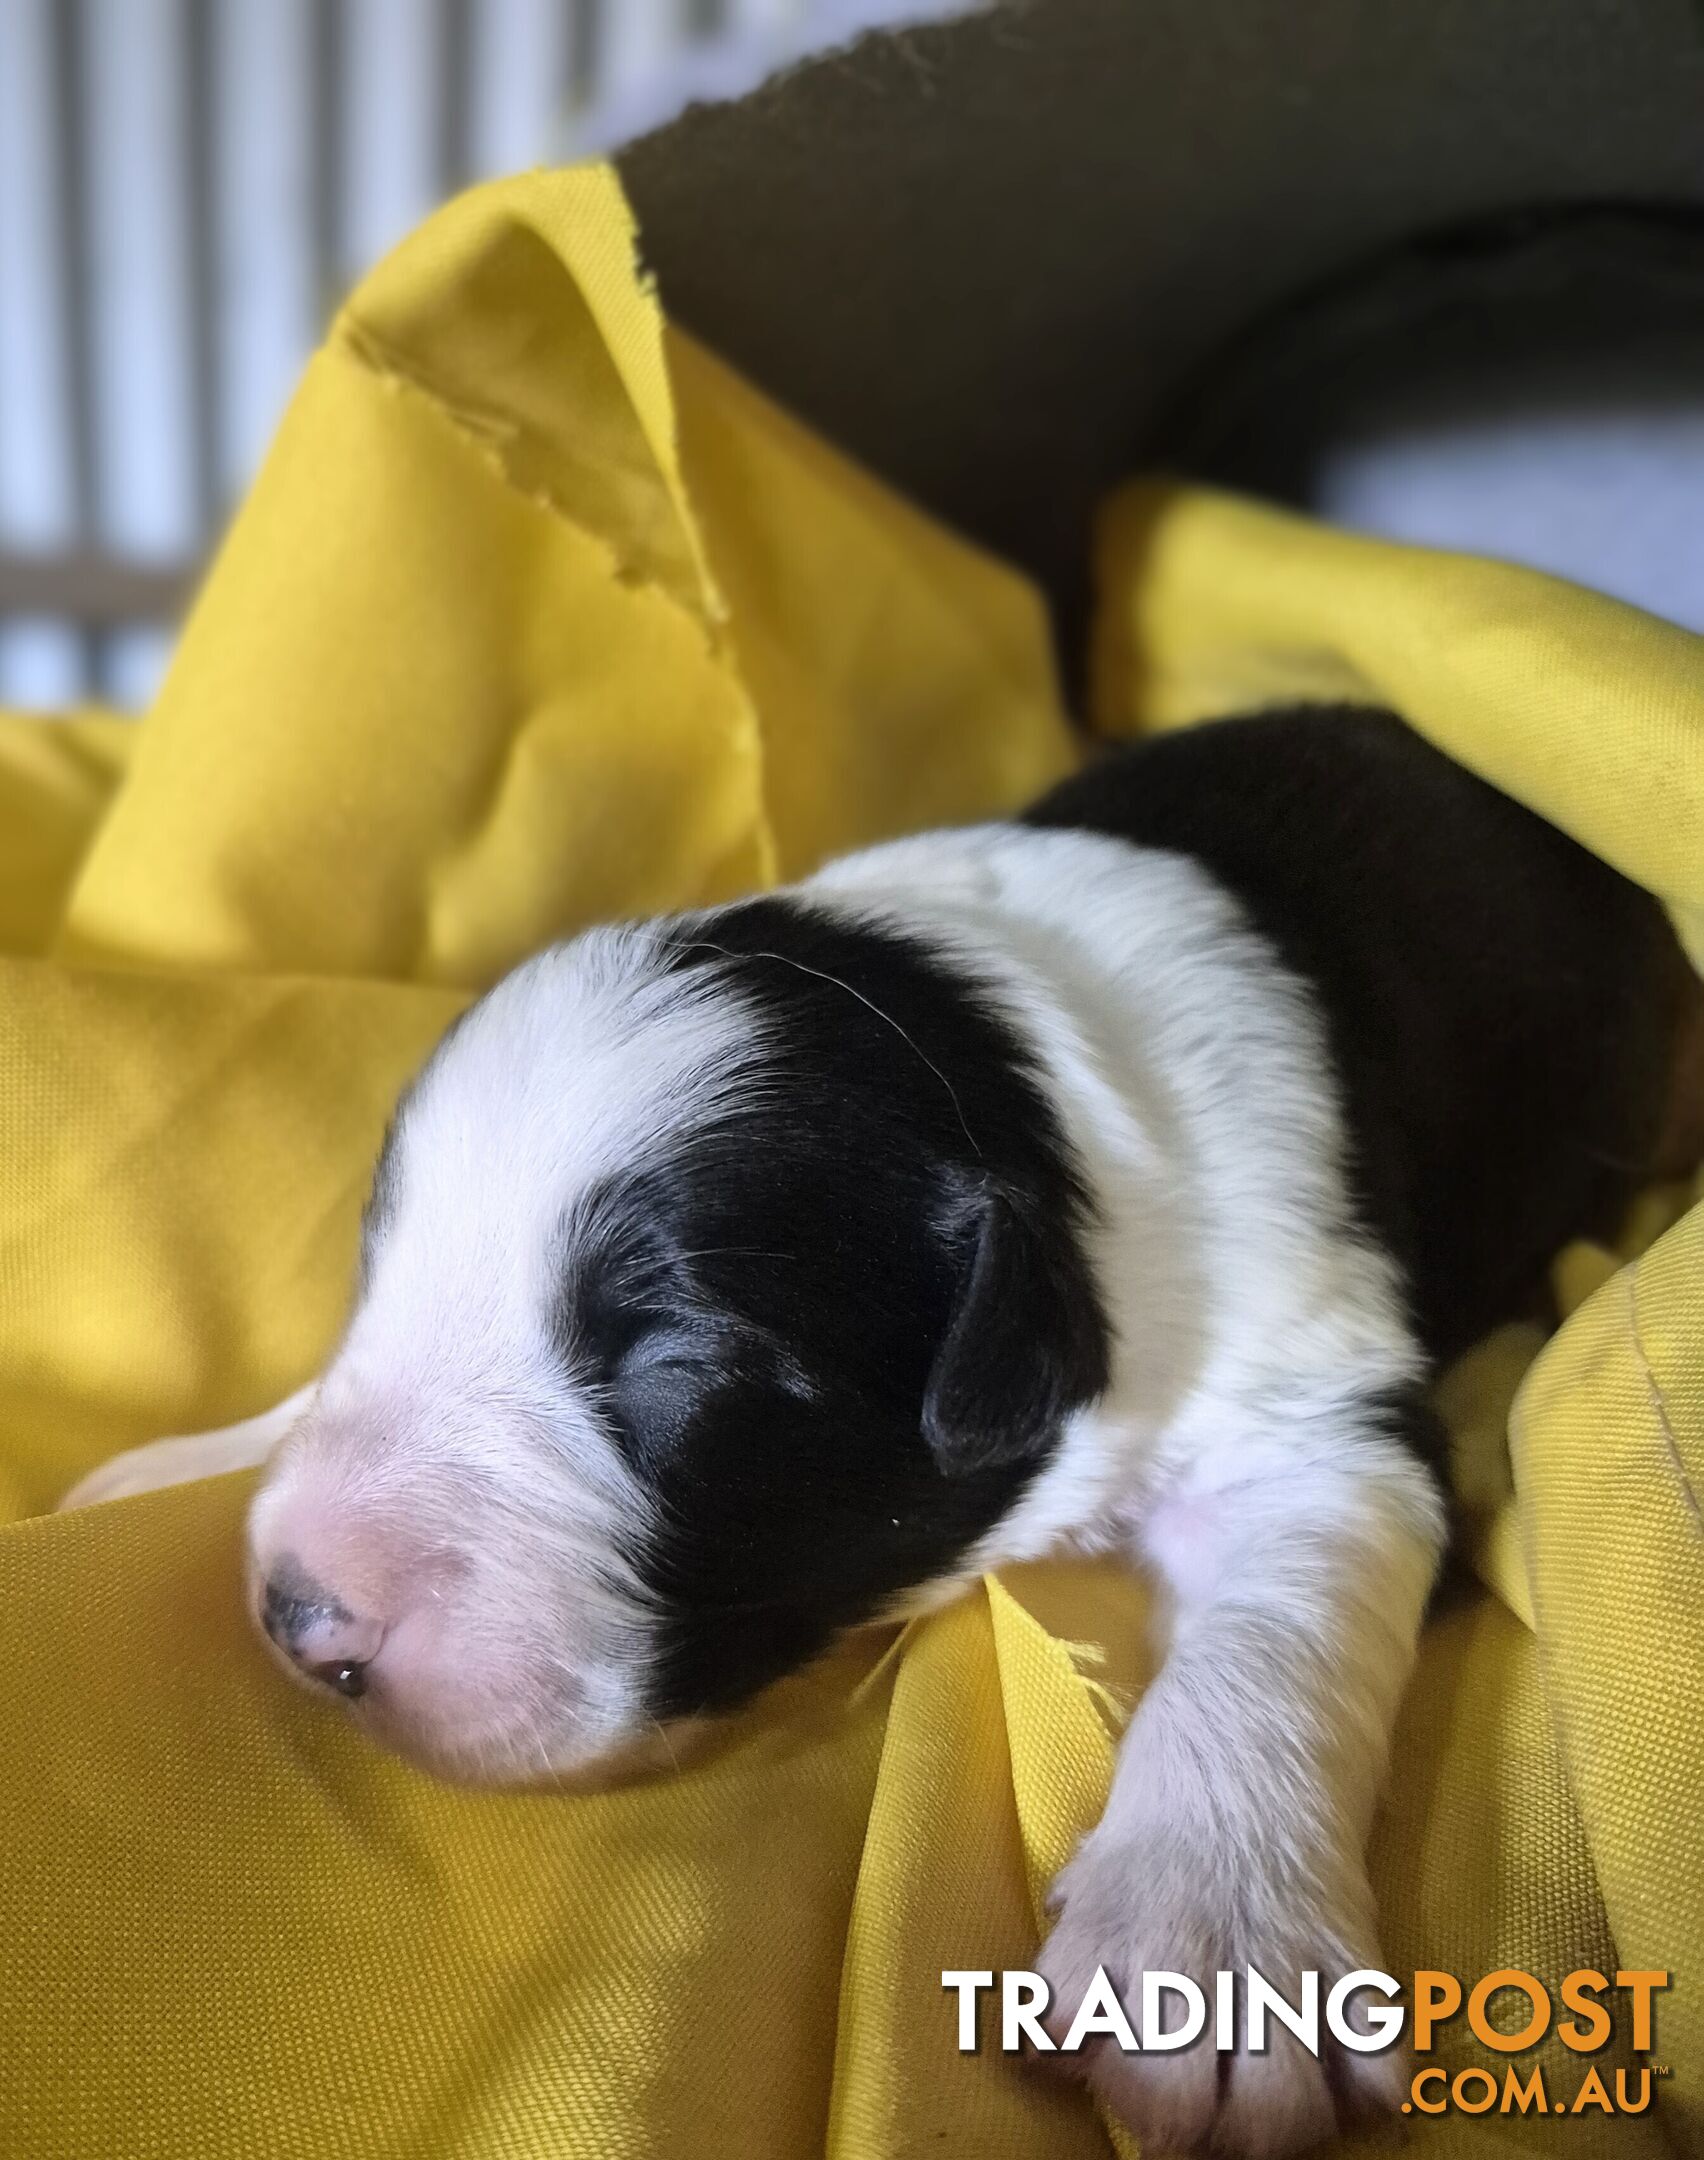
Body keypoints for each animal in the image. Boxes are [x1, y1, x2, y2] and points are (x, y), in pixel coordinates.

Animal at [63, 712, 1684, 2160]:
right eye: (376, 1270)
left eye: (680, 1362)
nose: (299, 1617)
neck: (1017, 1090)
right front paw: (164, 1466)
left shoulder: (1322, 1401)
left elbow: (1269, 1638)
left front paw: (1210, 1949)